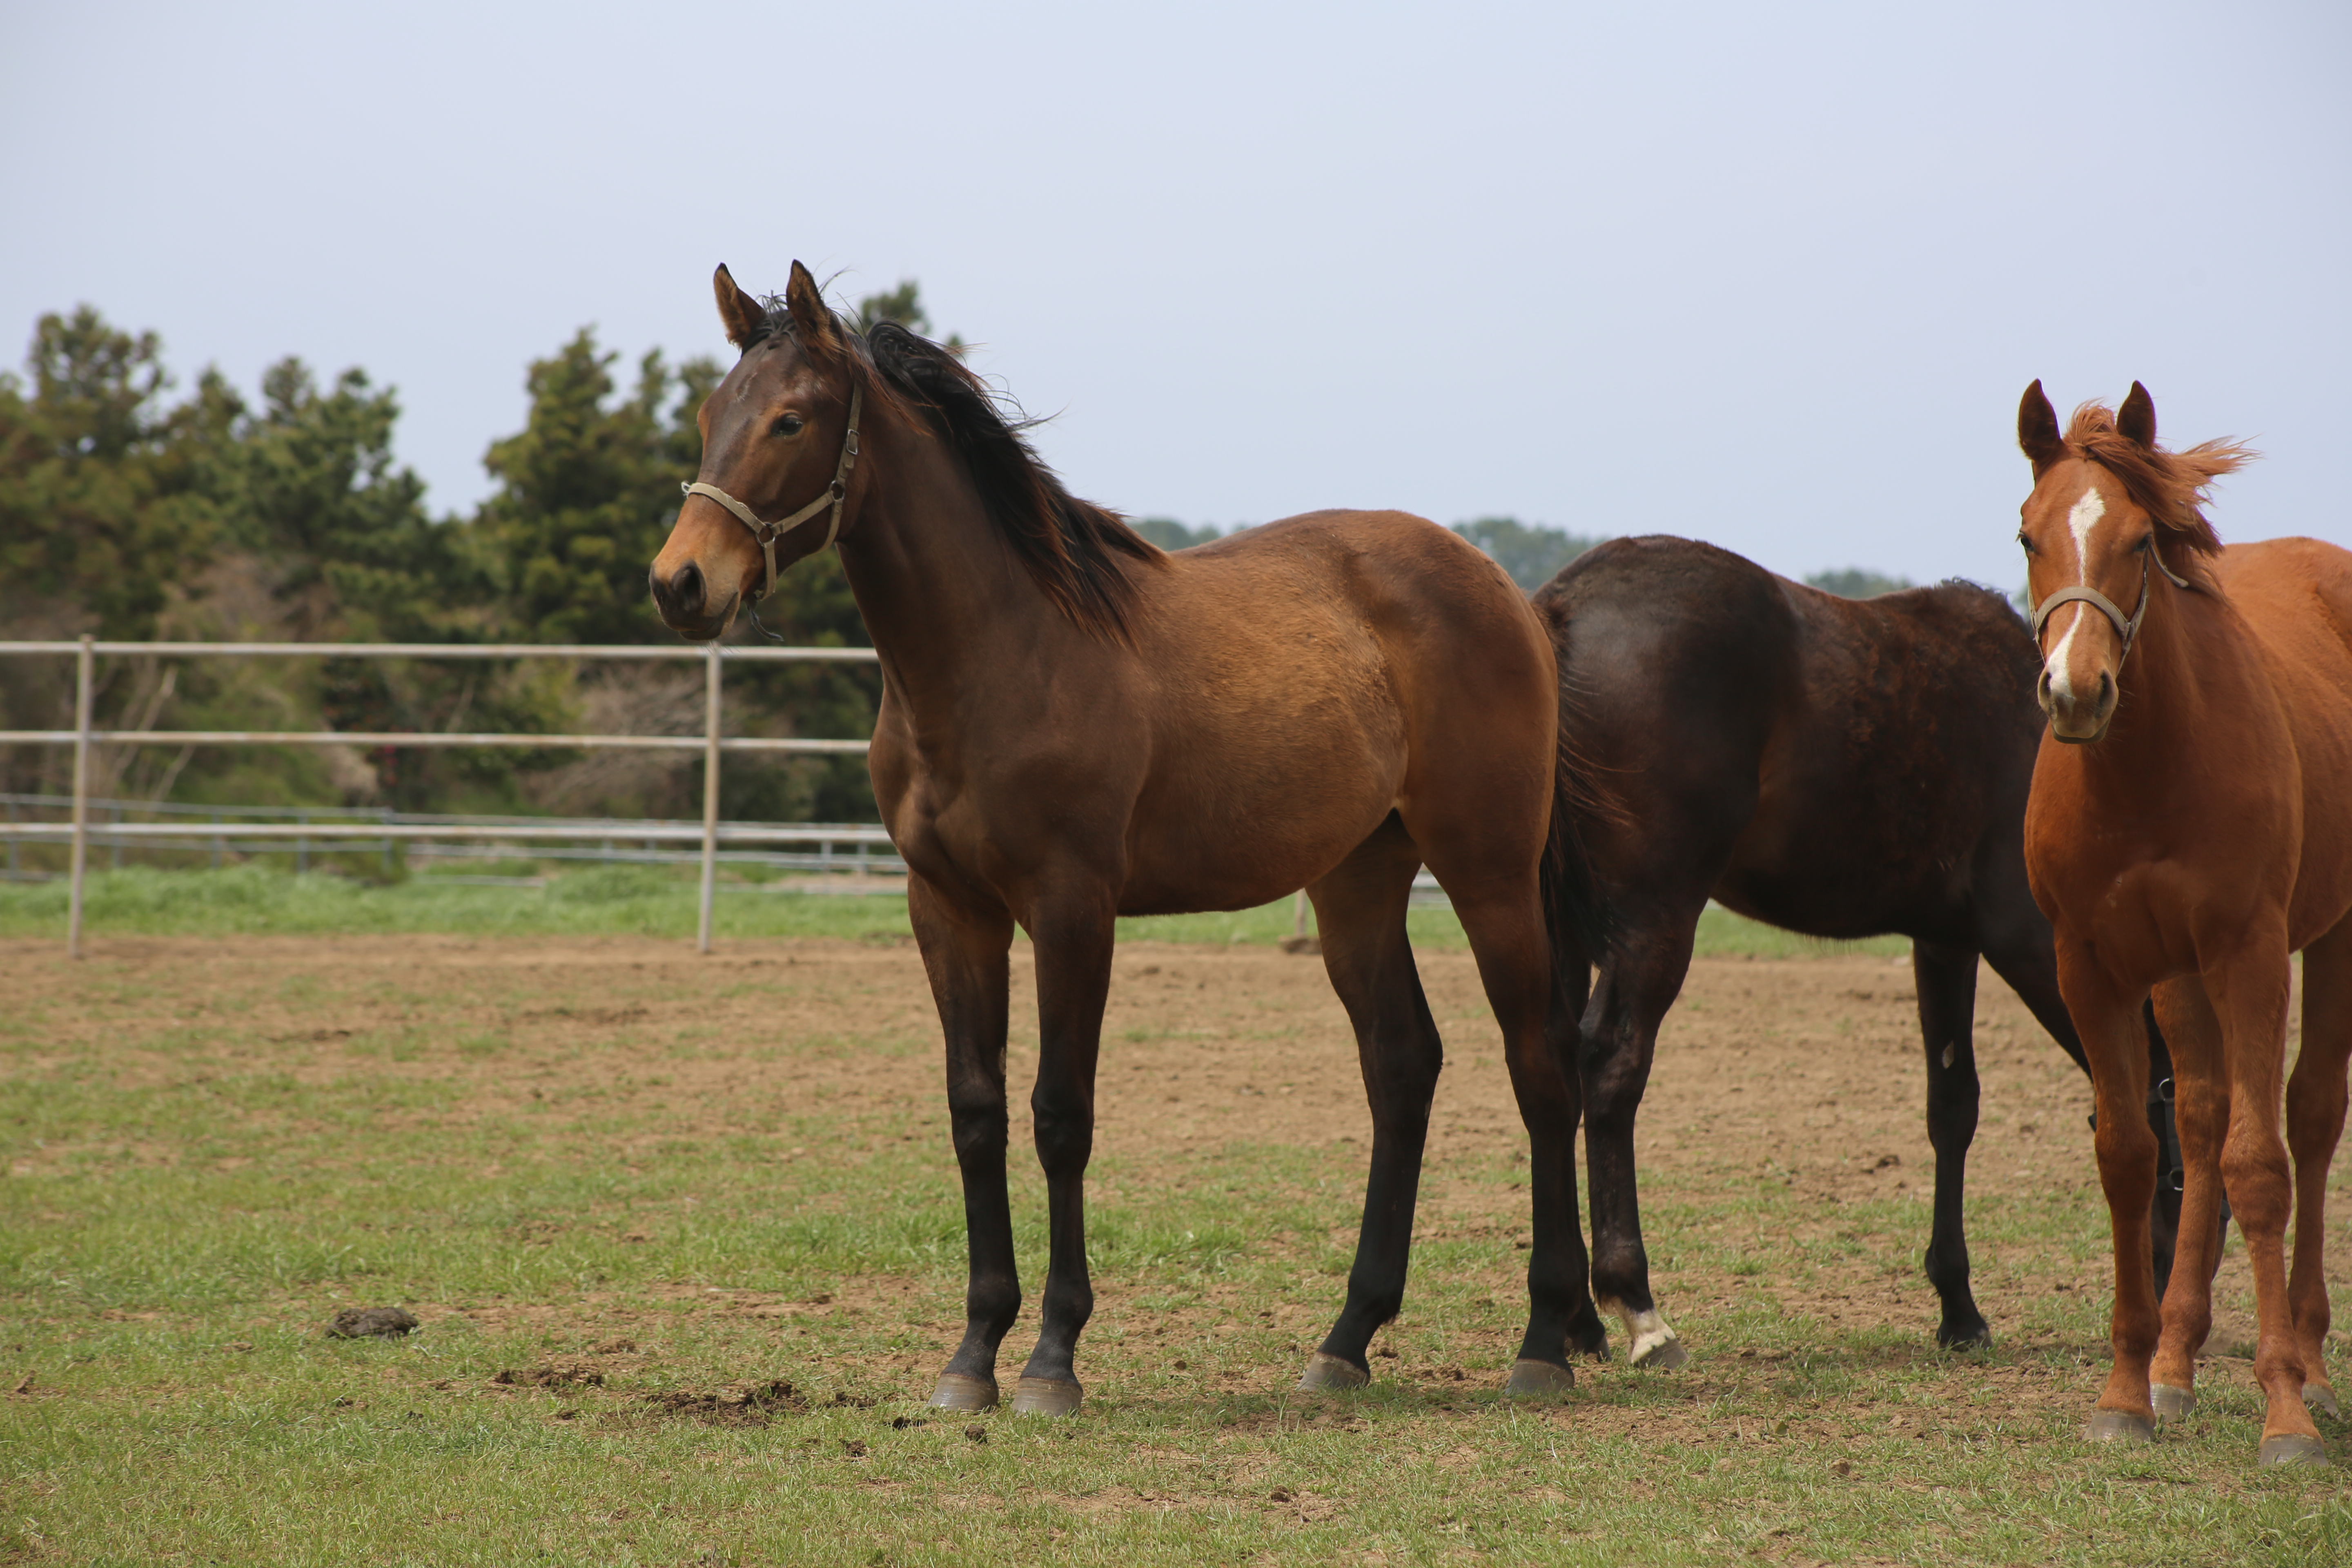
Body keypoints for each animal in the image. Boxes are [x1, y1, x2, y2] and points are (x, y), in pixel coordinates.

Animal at [654, 263, 1590, 1420]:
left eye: (789, 418)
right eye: (709, 419)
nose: (680, 583)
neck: (1002, 652)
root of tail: (1503, 586)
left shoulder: (1071, 909)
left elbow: (1061, 1114)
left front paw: (1051, 1359)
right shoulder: (948, 909)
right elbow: (976, 1113)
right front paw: (972, 1354)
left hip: (1488, 871)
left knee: (1537, 1061)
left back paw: (1544, 1340)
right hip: (1357, 884)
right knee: (1402, 1065)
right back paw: (1345, 1341)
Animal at [2013, 383, 2352, 1476]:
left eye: (2137, 540)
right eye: (2027, 535)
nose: (2076, 692)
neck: (2147, 768)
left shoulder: (2250, 953)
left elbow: (2261, 1165)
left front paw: (2283, 1412)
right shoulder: (2095, 966)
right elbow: (2130, 1154)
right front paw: (2127, 1386)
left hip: (2326, 940)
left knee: (2308, 1115)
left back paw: (2311, 1365)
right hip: (2176, 972)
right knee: (2199, 1120)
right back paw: (2177, 1360)